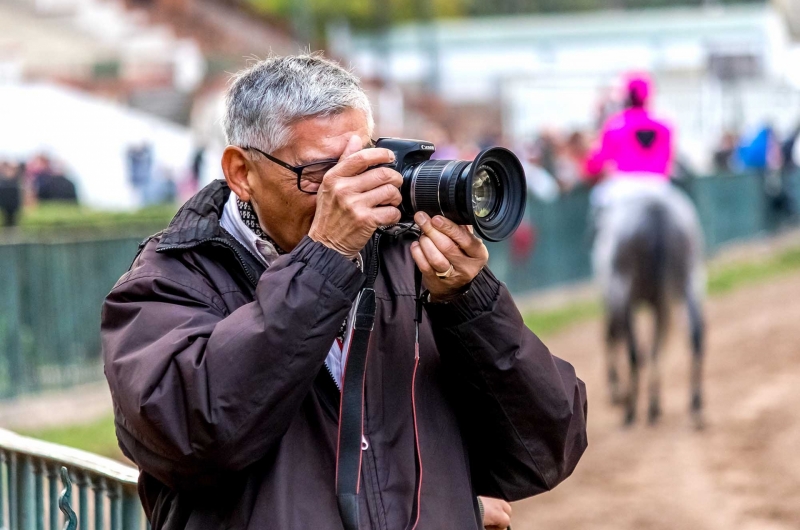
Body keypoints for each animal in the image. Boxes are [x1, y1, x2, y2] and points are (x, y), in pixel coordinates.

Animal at [592, 182, 708, 428]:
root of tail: (656, 210)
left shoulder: (616, 298)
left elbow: (617, 341)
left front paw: (618, 391)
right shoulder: (656, 303)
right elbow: (654, 347)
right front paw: (654, 405)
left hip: (624, 291)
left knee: (634, 352)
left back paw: (630, 411)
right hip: (690, 278)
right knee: (695, 338)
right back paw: (695, 405)